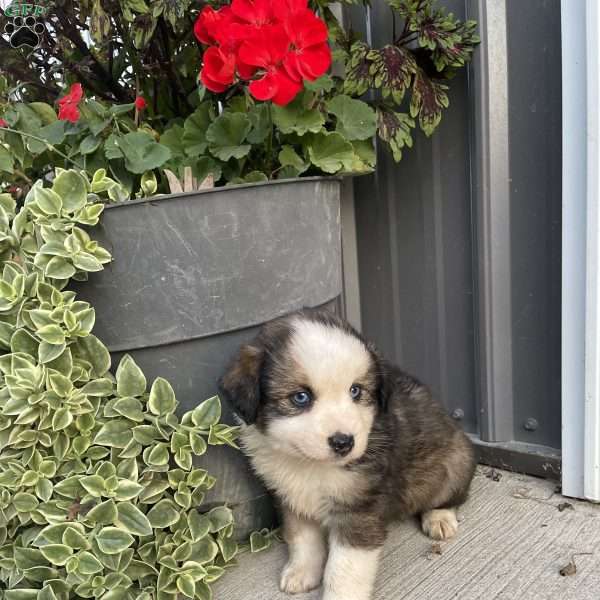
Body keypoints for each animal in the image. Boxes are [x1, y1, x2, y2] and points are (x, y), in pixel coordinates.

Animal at [218, 310, 476, 600]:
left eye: (356, 391)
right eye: (300, 397)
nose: (344, 442)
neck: (309, 464)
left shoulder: (358, 509)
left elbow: (344, 570)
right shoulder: (291, 497)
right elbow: (302, 539)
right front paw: (301, 573)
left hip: (456, 461)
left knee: (451, 496)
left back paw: (439, 518)